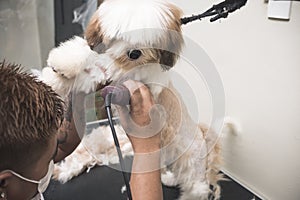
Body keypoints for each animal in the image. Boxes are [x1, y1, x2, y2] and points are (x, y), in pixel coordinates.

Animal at [41, 0, 221, 199]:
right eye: (119, 35)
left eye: (150, 40)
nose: (134, 53)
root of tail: (202, 136)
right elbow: (87, 60)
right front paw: (57, 72)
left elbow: (100, 69)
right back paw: (169, 179)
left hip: (191, 166)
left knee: (197, 188)